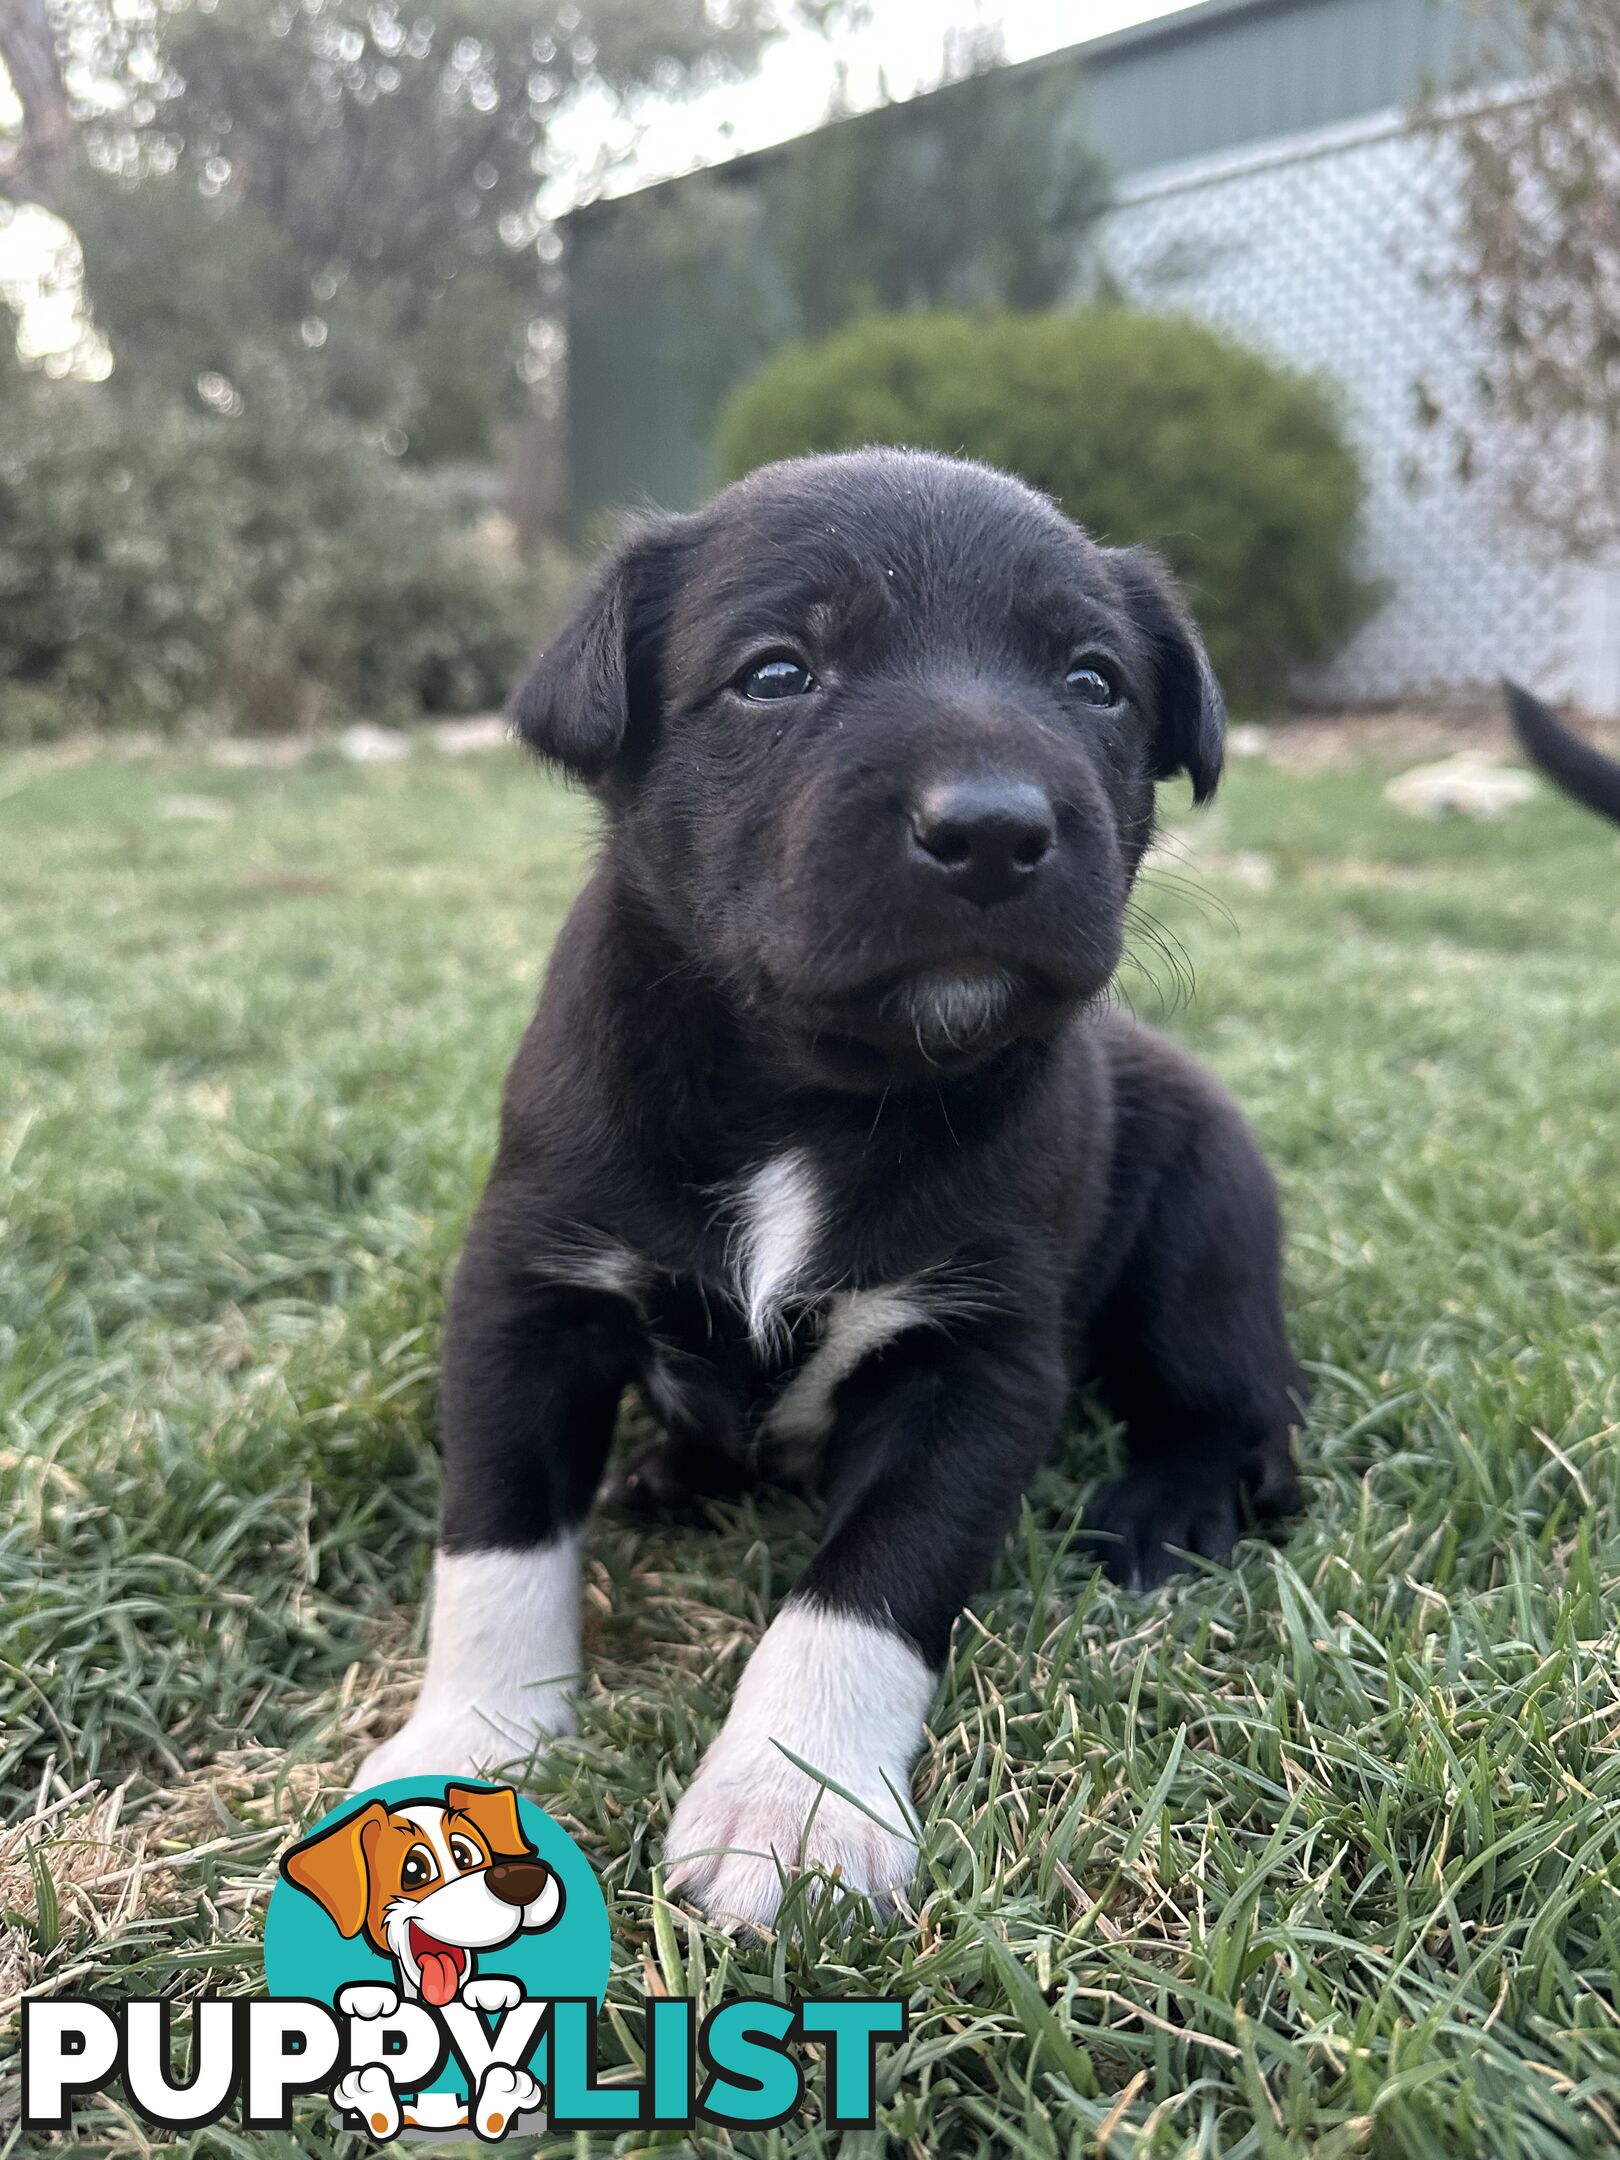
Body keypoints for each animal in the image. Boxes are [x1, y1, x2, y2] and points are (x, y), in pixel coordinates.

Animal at [354, 442, 1304, 1926]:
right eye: (777, 673)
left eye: (1095, 684)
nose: (993, 830)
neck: (813, 1091)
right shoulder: (524, 1296)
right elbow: (496, 1543)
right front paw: (469, 1744)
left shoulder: (974, 1362)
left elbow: (871, 1583)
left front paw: (790, 1800)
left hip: (1201, 1237)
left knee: (1240, 1413)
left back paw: (1163, 1513)